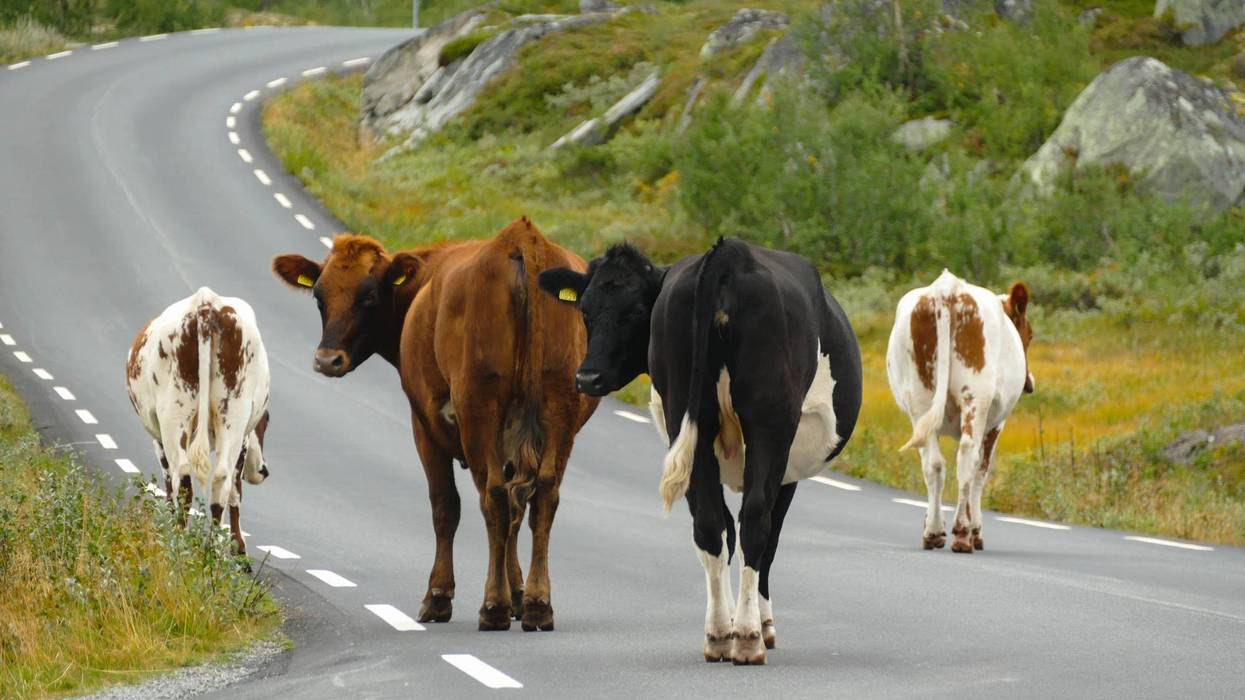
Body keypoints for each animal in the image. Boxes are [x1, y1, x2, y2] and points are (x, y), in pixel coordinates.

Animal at [125, 287, 271, 556]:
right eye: (267, 419)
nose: (263, 471)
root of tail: (205, 303)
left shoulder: (159, 438)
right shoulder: (245, 436)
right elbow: (235, 489)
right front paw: (238, 547)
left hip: (176, 415)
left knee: (183, 476)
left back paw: (180, 544)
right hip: (230, 414)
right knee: (219, 478)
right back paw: (207, 550)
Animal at [272, 217, 598, 631]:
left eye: (369, 297)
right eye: (318, 297)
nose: (328, 359)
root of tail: (521, 237)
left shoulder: (423, 422)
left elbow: (446, 505)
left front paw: (440, 596)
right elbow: (515, 512)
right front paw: (518, 594)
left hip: (480, 409)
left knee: (492, 496)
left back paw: (492, 607)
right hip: (560, 407)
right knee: (543, 494)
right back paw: (539, 604)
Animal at [538, 237, 862, 665]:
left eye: (635, 311)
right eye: (585, 311)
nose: (587, 377)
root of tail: (730, 252)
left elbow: (721, 528)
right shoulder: (785, 464)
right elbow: (765, 538)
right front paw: (763, 624)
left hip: (689, 421)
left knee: (709, 524)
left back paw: (719, 635)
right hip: (769, 423)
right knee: (755, 523)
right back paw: (747, 638)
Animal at [886, 270, 1034, 553]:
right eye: (1030, 335)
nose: (1029, 383)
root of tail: (947, 288)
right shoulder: (996, 424)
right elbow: (981, 472)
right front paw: (975, 530)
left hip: (920, 400)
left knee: (933, 463)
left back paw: (933, 532)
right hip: (975, 396)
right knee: (967, 455)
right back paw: (964, 534)